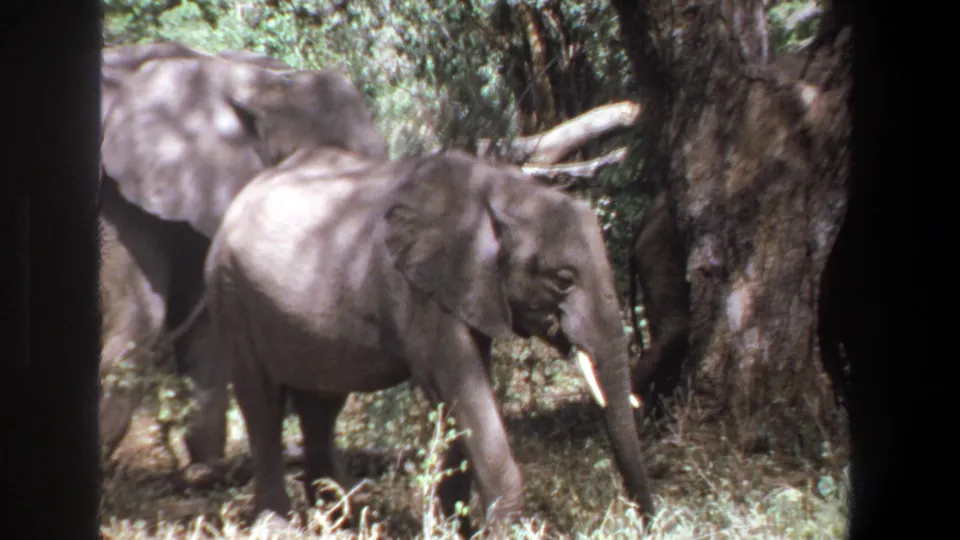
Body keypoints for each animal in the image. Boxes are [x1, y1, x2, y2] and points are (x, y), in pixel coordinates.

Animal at [202, 147, 654, 529]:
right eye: (563, 279)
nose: (649, 521)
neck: (500, 190)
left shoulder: (466, 289)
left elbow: (459, 398)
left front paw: (454, 529)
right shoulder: (416, 290)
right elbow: (459, 387)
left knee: (321, 406)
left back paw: (340, 522)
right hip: (229, 293)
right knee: (262, 404)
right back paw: (278, 525)